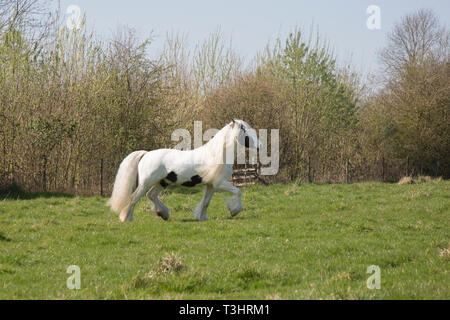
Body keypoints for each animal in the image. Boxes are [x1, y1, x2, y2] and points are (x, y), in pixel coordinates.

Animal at [108, 120, 260, 222]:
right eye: (244, 129)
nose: (259, 145)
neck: (216, 154)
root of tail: (146, 154)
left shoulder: (211, 185)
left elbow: (206, 202)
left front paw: (202, 218)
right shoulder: (219, 183)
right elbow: (238, 192)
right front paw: (234, 211)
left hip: (162, 182)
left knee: (151, 195)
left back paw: (163, 213)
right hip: (146, 183)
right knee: (134, 198)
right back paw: (127, 218)